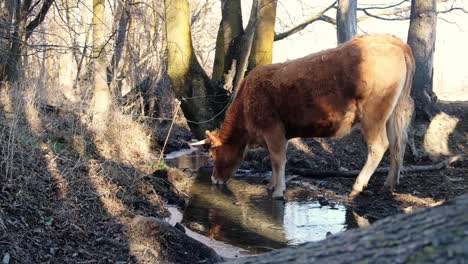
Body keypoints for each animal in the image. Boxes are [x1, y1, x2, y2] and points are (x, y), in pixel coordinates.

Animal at [192, 34, 414, 199]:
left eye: (213, 154)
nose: (214, 180)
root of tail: (391, 40)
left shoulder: (272, 129)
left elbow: (278, 159)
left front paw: (278, 191)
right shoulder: (278, 134)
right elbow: (274, 159)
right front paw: (271, 184)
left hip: (373, 115)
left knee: (379, 146)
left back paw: (358, 186)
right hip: (391, 116)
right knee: (398, 144)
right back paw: (389, 184)